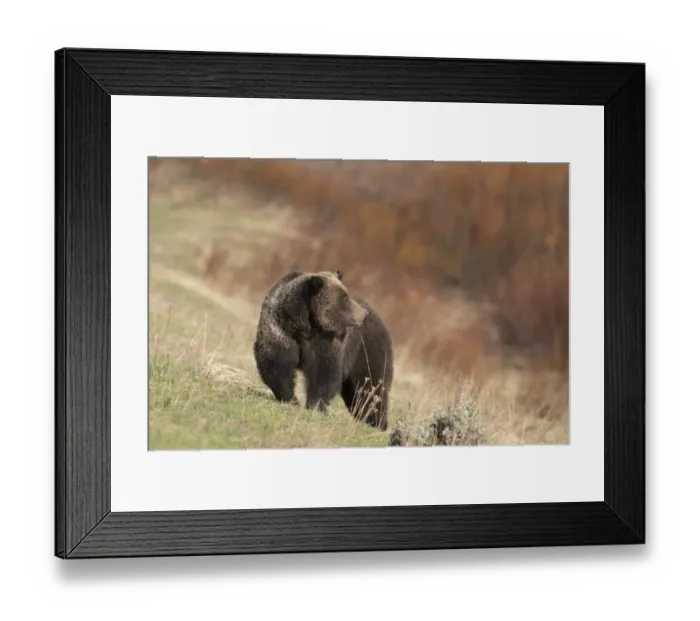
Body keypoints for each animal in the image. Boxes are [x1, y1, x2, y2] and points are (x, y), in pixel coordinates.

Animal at [253, 269, 394, 431]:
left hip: (366, 351)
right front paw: (290, 398)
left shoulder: (326, 340)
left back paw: (376, 422)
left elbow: (323, 372)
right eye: (345, 298)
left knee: (371, 385)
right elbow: (276, 364)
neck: (305, 326)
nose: (363, 314)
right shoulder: (280, 330)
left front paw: (314, 405)